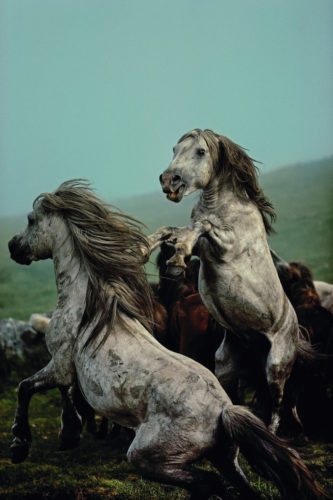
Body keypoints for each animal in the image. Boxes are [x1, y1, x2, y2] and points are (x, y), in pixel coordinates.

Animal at [8, 181, 324, 500]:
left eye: (31, 220)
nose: (12, 246)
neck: (89, 305)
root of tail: (224, 411)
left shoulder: (60, 364)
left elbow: (26, 388)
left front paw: (21, 445)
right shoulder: (67, 369)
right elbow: (63, 392)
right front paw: (68, 433)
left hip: (148, 456)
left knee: (207, 482)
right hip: (225, 458)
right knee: (238, 488)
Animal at [150, 130, 308, 434]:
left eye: (200, 151)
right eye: (175, 149)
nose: (168, 180)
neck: (222, 207)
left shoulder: (225, 243)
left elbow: (203, 227)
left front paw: (177, 261)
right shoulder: (203, 246)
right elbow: (171, 230)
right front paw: (144, 247)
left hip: (276, 366)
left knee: (277, 403)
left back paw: (272, 433)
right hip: (225, 364)